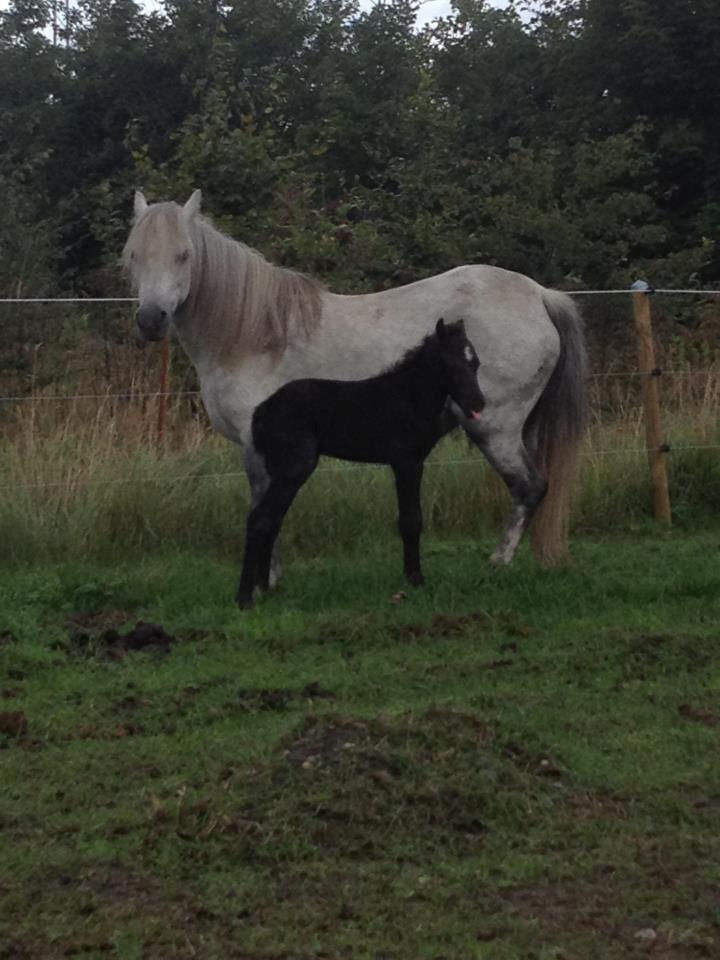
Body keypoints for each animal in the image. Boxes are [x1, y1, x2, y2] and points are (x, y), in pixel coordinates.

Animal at [237, 318, 485, 608]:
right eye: (451, 364)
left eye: (476, 362)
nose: (478, 403)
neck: (408, 396)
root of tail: (261, 412)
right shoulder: (407, 462)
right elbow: (411, 520)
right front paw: (415, 580)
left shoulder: (410, 463)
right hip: (294, 469)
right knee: (260, 519)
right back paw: (244, 598)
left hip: (281, 471)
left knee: (272, 520)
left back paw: (265, 589)